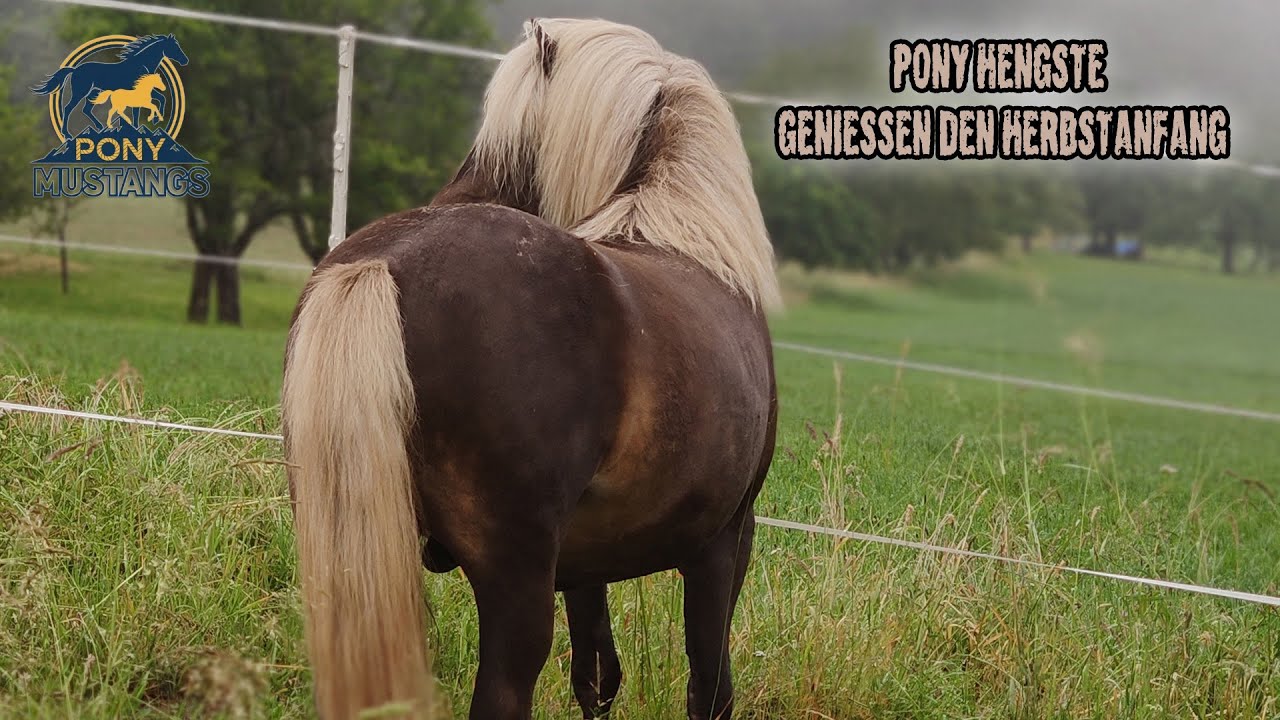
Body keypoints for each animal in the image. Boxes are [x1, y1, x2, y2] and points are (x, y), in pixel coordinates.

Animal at [32, 34, 187, 133]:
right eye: (175, 47)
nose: (185, 60)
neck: (141, 65)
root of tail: (75, 69)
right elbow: (144, 108)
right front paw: (151, 121)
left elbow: (160, 99)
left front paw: (154, 120)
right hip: (81, 92)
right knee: (68, 108)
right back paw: (67, 134)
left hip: (94, 92)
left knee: (86, 109)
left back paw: (100, 128)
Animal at [282, 18, 780, 720]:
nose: (448, 197)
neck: (685, 239)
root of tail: (384, 261)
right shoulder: (724, 541)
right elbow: (709, 686)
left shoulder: (585, 565)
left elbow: (597, 676)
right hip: (516, 584)